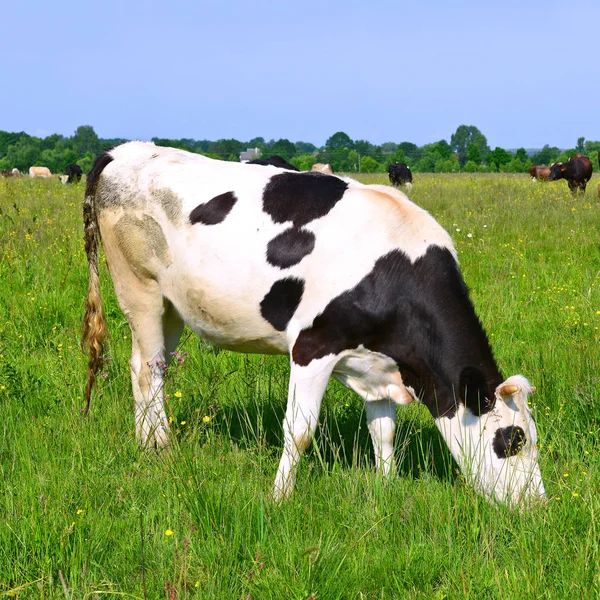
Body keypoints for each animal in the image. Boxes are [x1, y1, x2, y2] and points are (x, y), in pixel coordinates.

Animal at [82, 142, 548, 506]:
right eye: (512, 441)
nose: (537, 506)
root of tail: (124, 150)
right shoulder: (312, 346)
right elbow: (300, 432)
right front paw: (279, 498)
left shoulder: (377, 363)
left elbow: (383, 432)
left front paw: (387, 488)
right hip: (138, 287)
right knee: (148, 371)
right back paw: (162, 449)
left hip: (171, 307)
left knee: (145, 365)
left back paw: (147, 445)